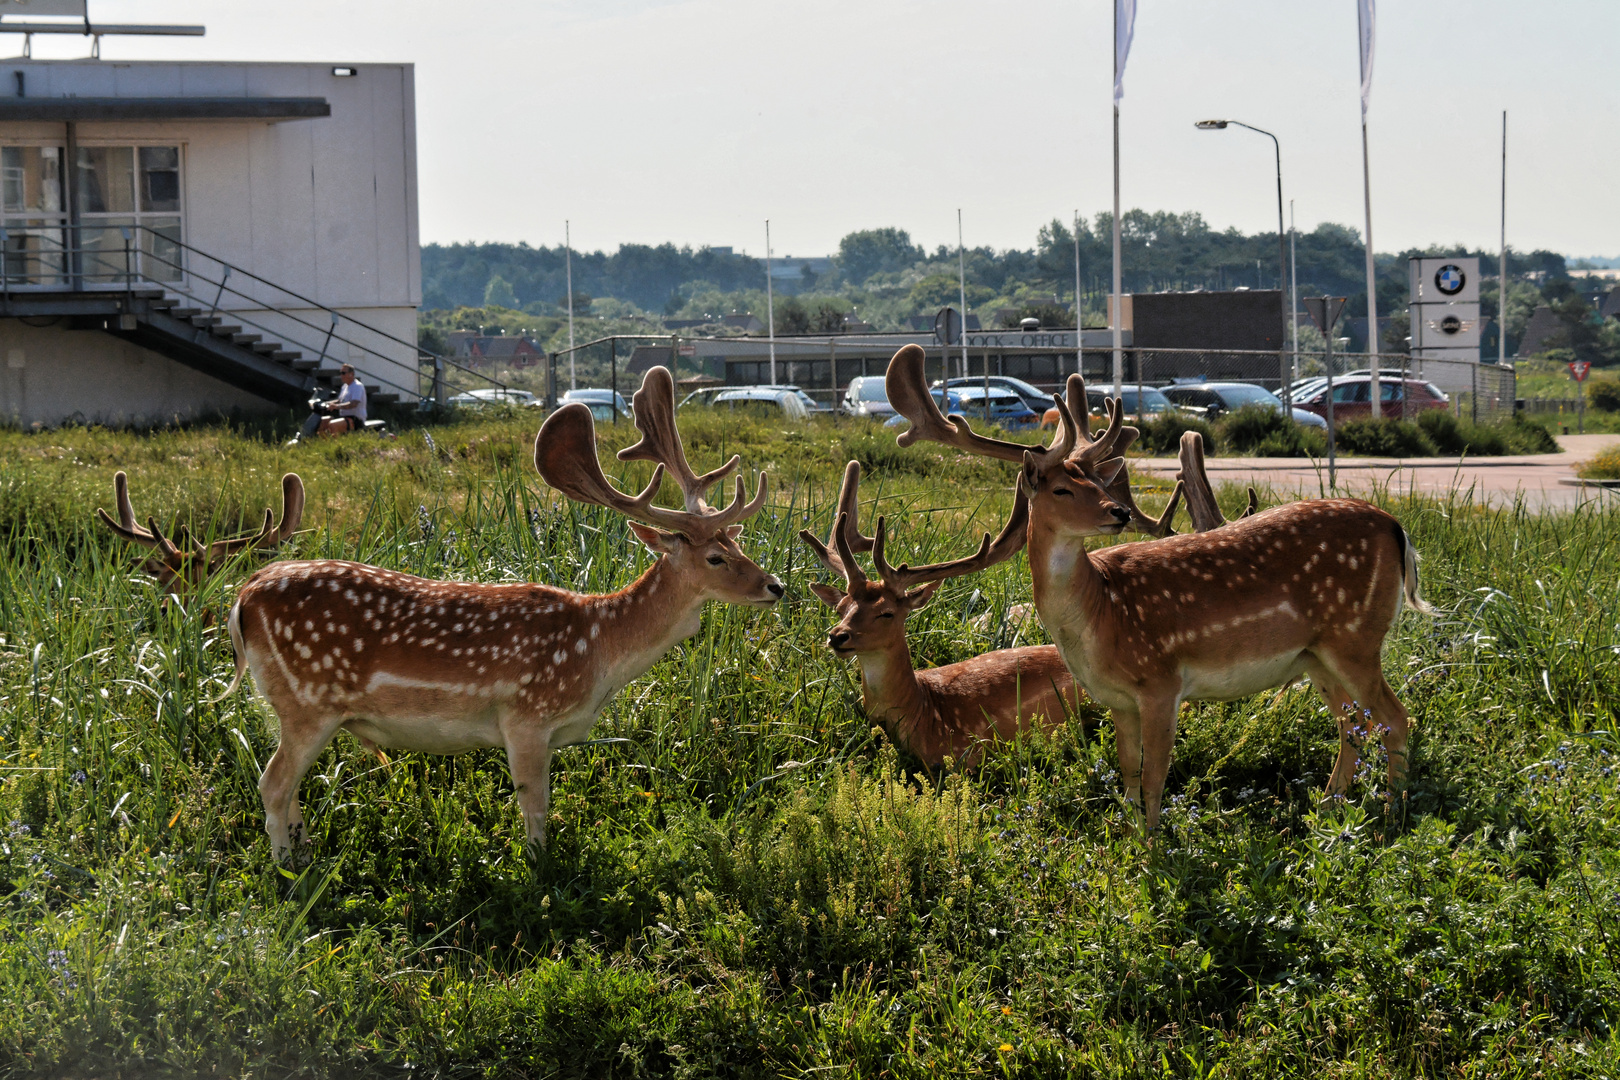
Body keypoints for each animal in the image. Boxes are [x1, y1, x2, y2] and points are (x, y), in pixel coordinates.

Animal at [218, 367, 787, 867]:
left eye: (737, 543)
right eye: (714, 558)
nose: (776, 586)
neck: (599, 652)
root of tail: (243, 598)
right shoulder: (526, 715)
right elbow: (535, 809)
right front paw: (539, 873)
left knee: (288, 788)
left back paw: (304, 855)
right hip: (307, 699)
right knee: (272, 784)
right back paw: (289, 874)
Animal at [887, 346, 1445, 829]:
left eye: (1096, 482)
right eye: (1063, 488)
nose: (1118, 512)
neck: (1100, 615)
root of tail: (1397, 528)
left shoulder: (1161, 681)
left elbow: (1155, 777)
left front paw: (1154, 853)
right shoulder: (1117, 699)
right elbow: (1129, 776)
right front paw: (1131, 842)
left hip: (1356, 637)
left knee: (1397, 718)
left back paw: (1390, 819)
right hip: (1316, 656)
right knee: (1354, 725)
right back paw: (1329, 810)